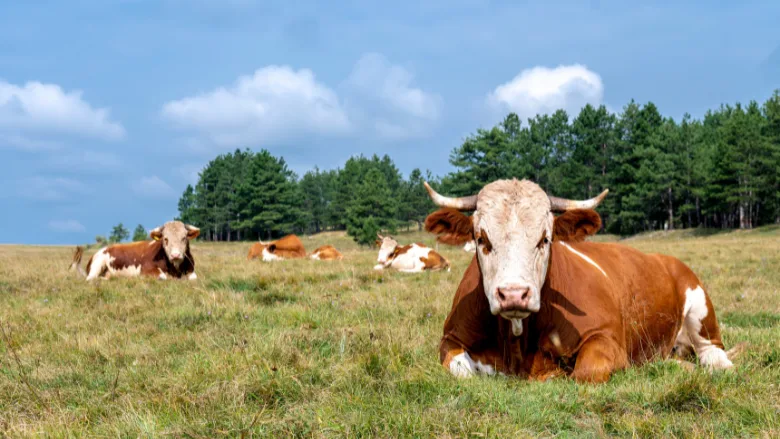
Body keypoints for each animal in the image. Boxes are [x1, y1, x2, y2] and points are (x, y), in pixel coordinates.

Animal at [69, 221, 199, 281]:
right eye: (165, 239)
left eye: (184, 238)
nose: (175, 255)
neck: (175, 270)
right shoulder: (145, 270)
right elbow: (162, 276)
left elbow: (193, 278)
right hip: (97, 265)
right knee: (91, 279)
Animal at [422, 178, 735, 383]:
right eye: (481, 238)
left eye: (545, 238)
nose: (513, 294)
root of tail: (666, 258)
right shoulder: (450, 338)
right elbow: (462, 371)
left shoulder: (606, 337)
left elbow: (586, 371)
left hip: (699, 306)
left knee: (712, 350)